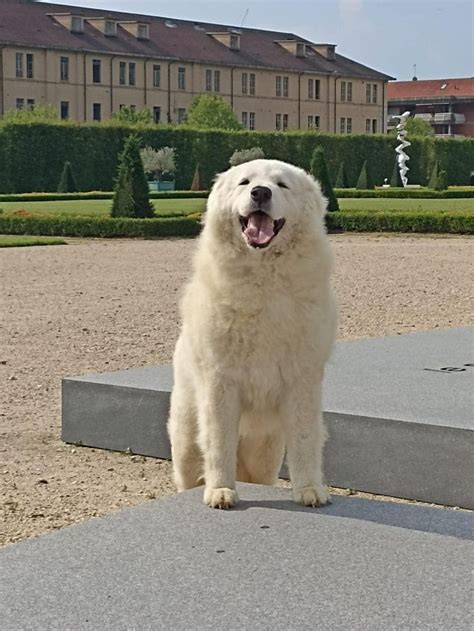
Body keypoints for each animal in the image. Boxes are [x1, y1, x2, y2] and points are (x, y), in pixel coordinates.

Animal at [167, 158, 336, 508]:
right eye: (244, 183)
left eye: (282, 185)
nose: (260, 192)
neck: (263, 282)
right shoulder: (220, 383)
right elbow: (219, 443)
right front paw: (220, 491)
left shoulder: (302, 383)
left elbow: (306, 440)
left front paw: (310, 490)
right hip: (186, 442)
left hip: (266, 453)